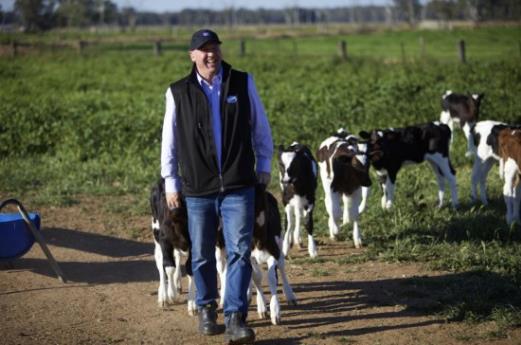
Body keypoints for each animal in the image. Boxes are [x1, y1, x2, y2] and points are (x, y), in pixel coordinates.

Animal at [149, 177, 196, 314]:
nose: (174, 211)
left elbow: (191, 268)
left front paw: (192, 304)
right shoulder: (165, 240)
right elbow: (169, 267)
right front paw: (171, 294)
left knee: (177, 257)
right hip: (156, 233)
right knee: (160, 263)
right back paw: (163, 295)